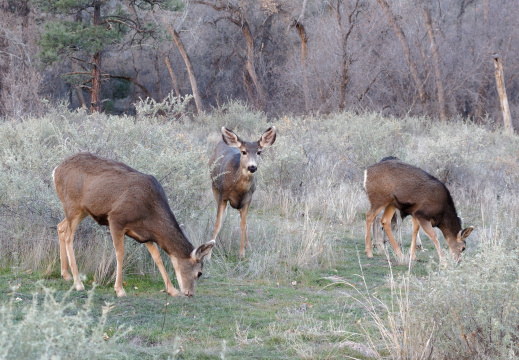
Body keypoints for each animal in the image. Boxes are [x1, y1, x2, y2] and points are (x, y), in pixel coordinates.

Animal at [53, 153, 215, 296]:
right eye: (199, 273)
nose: (189, 293)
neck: (149, 212)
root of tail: (55, 171)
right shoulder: (116, 218)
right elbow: (120, 253)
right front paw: (119, 290)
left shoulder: (146, 235)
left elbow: (157, 257)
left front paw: (172, 290)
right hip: (73, 204)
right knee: (68, 237)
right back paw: (78, 283)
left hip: (81, 210)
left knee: (61, 227)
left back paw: (65, 275)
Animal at [210, 126, 278, 258]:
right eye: (243, 152)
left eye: (259, 152)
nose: (252, 167)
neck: (238, 189)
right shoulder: (222, 195)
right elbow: (217, 223)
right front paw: (208, 254)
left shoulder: (247, 199)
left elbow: (243, 224)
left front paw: (242, 253)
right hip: (214, 186)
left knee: (243, 221)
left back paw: (248, 245)